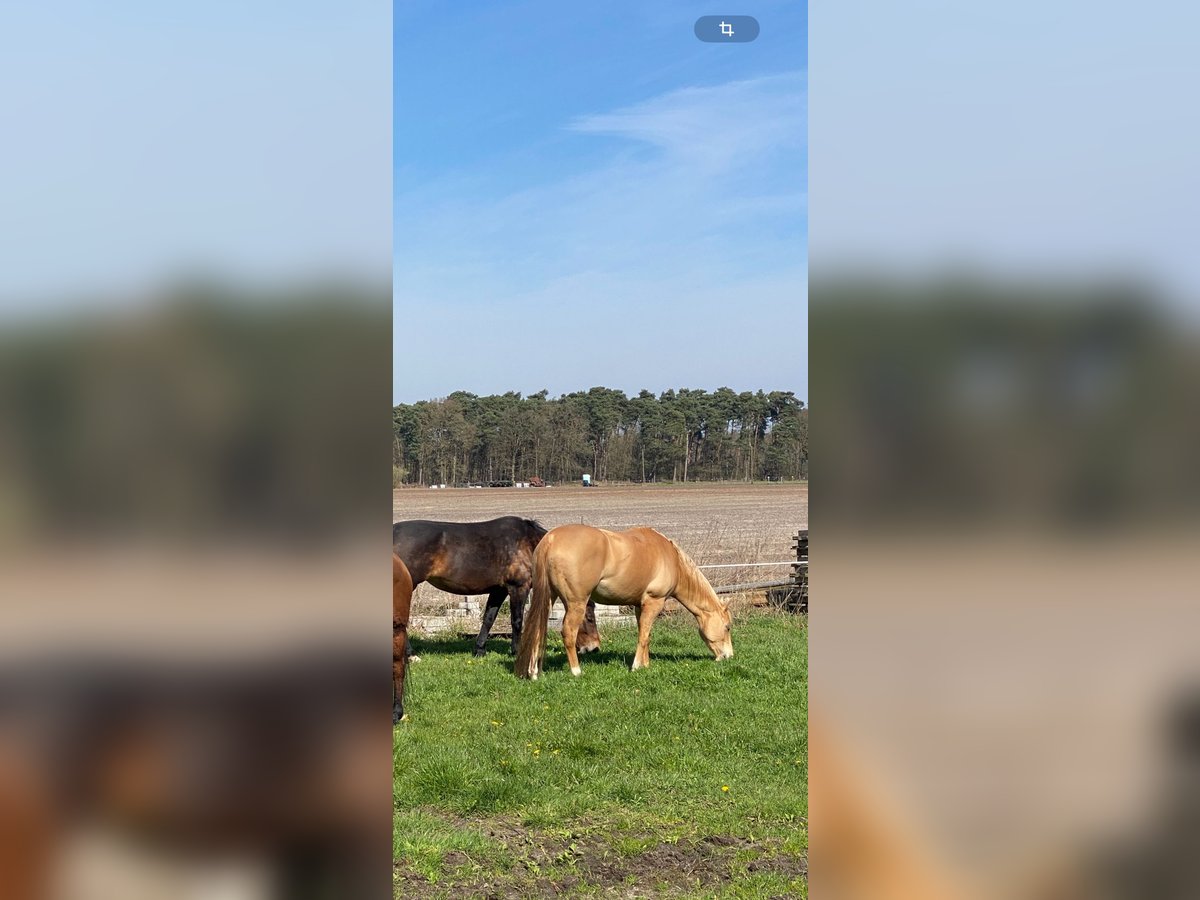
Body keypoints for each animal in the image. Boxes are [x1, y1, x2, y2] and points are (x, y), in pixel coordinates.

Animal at [393, 518, 600, 657]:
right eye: (589, 618)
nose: (594, 647)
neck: (529, 544)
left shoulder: (498, 590)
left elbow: (488, 619)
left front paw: (479, 649)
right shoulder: (518, 587)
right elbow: (517, 620)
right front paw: (516, 651)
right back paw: (410, 654)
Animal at [516, 525, 729, 681]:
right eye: (728, 627)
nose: (728, 656)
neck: (672, 559)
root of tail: (551, 539)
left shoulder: (640, 606)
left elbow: (646, 635)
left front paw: (645, 665)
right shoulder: (654, 602)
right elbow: (643, 636)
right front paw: (636, 667)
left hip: (548, 598)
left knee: (538, 630)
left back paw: (534, 673)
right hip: (576, 603)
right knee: (568, 633)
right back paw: (576, 671)